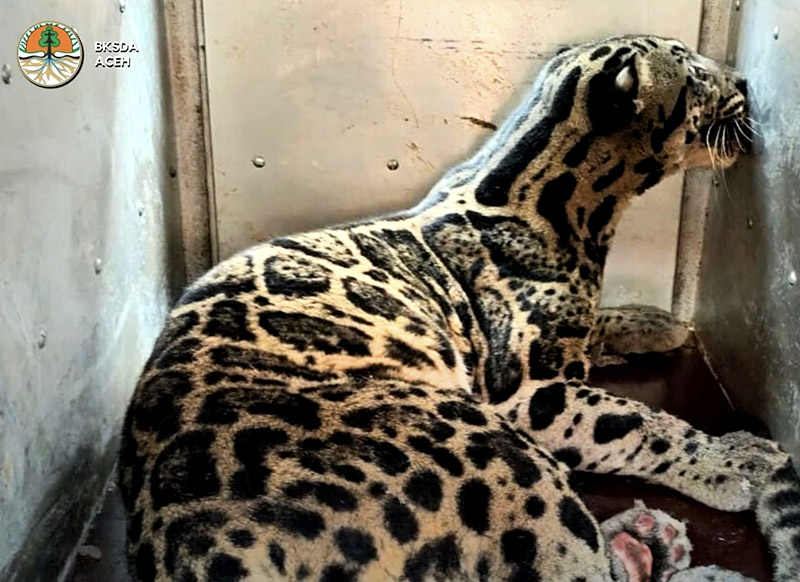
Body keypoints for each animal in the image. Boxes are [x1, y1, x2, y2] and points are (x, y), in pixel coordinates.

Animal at [118, 34, 800, 582]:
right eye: (695, 72)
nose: (743, 83)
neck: (580, 216)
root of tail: (197, 546)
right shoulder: (528, 389)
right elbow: (633, 421)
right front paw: (730, 459)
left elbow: (598, 324)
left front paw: (653, 322)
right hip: (498, 453)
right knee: (568, 564)